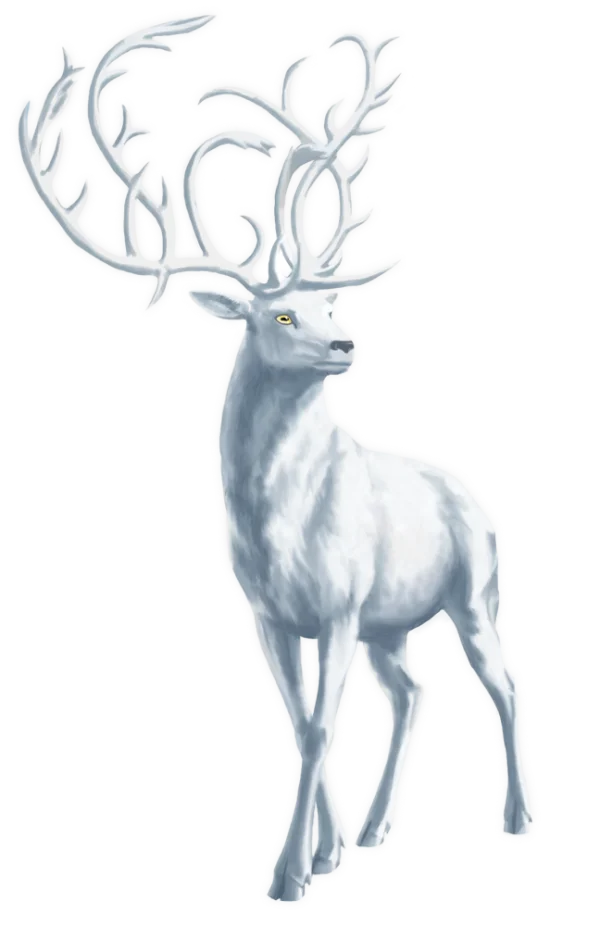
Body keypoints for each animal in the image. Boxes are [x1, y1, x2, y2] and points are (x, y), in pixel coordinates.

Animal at [13, 8, 536, 906]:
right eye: (282, 315)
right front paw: (326, 854)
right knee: (414, 689)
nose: (345, 342)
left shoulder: (341, 603)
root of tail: (477, 498)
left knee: (501, 683)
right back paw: (376, 827)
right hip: (391, 624)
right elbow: (297, 723)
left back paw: (519, 817)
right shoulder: (272, 613)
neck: (276, 527)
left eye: (326, 302)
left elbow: (323, 723)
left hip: (473, 590)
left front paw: (289, 876)